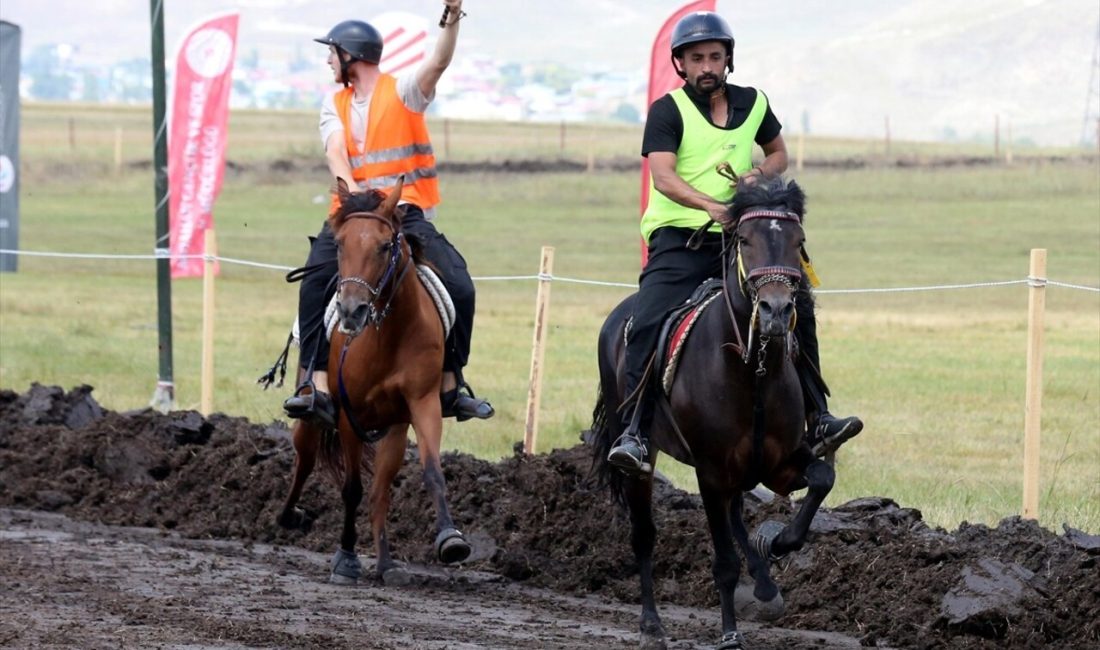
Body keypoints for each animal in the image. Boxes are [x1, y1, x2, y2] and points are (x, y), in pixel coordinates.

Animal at [277, 178, 470, 585]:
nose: (352, 311)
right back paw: (290, 515)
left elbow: (432, 472)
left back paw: (385, 563)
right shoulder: (349, 415)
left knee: (381, 491)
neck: (387, 335)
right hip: (312, 418)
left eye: (384, 246)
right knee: (304, 459)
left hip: (393, 428)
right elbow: (351, 488)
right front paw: (346, 558)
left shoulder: (421, 404)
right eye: (339, 244)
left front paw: (450, 538)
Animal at [594, 175, 831, 646]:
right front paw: (730, 634)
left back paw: (764, 583)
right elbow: (722, 561)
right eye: (745, 239)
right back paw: (651, 622)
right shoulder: (710, 471)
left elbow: (821, 480)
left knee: (737, 514)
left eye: (798, 242)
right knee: (643, 534)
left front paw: (774, 543)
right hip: (640, 458)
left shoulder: (781, 463)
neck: (752, 372)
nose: (777, 311)